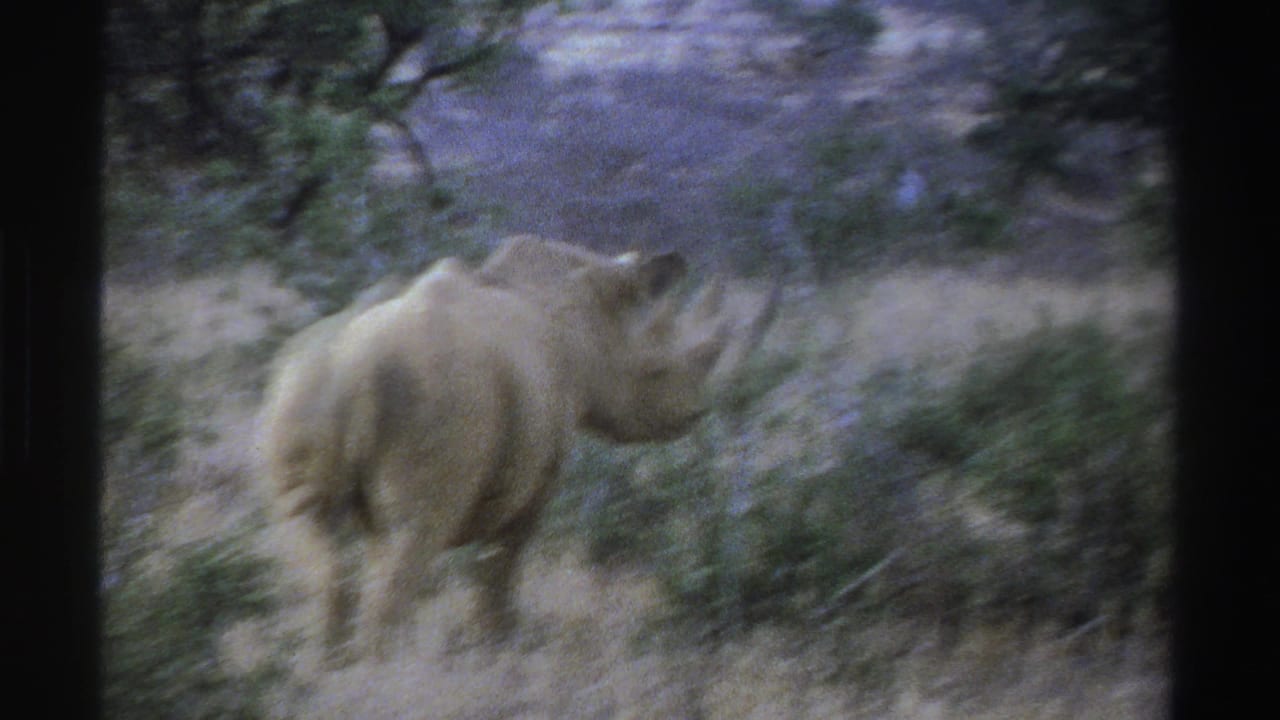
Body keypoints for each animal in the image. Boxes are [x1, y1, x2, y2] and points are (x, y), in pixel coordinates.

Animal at [261, 235, 778, 663]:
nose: (696, 413)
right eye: (658, 370)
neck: (587, 308)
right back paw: (387, 678)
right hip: (434, 399)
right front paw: (500, 651)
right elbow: (501, 571)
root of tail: (351, 370)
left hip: (300, 387)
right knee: (411, 543)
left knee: (317, 547)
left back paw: (332, 674)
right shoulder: (537, 479)